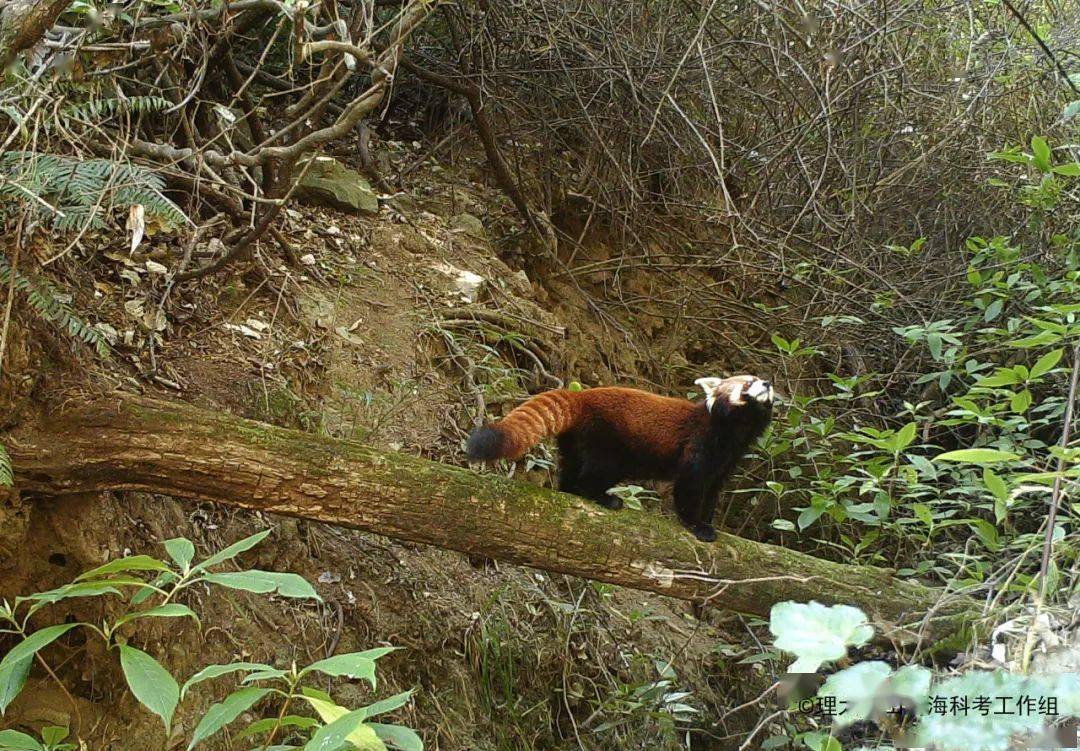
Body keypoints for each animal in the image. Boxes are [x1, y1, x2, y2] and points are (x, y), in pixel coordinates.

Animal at [468, 376, 773, 540]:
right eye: (748, 382)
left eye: (760, 380)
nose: (768, 382)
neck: (734, 431)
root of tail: (581, 397)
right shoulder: (699, 445)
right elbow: (689, 487)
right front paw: (696, 525)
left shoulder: (725, 460)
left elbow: (712, 491)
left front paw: (707, 520)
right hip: (608, 439)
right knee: (595, 473)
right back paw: (602, 497)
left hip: (577, 441)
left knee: (572, 467)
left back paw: (571, 490)